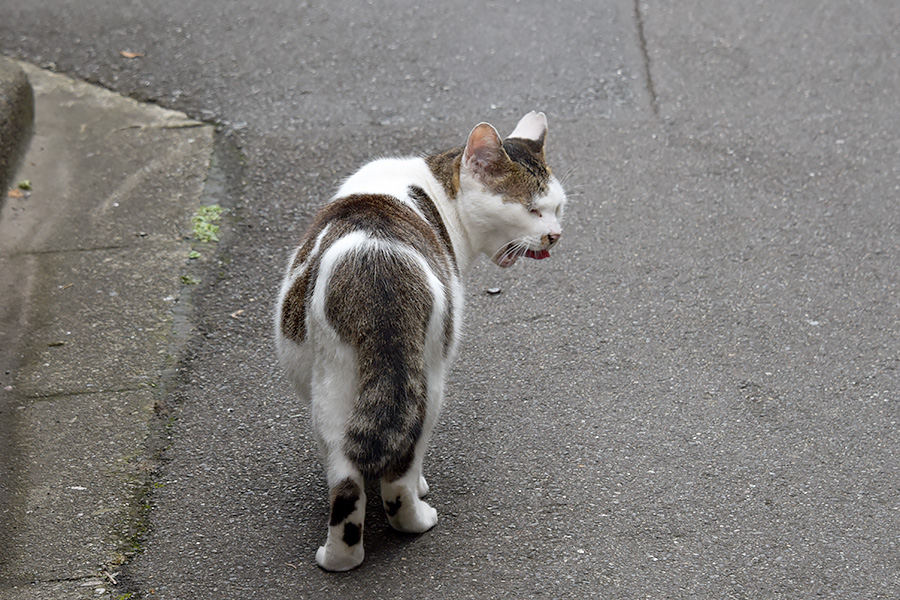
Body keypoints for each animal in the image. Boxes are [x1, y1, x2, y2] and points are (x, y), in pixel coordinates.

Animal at [276, 111, 568, 572]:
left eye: (558, 208)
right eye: (533, 209)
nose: (554, 234)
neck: (435, 186)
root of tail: (378, 272)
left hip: (340, 388)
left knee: (351, 480)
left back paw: (340, 557)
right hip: (425, 382)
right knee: (398, 470)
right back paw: (413, 517)